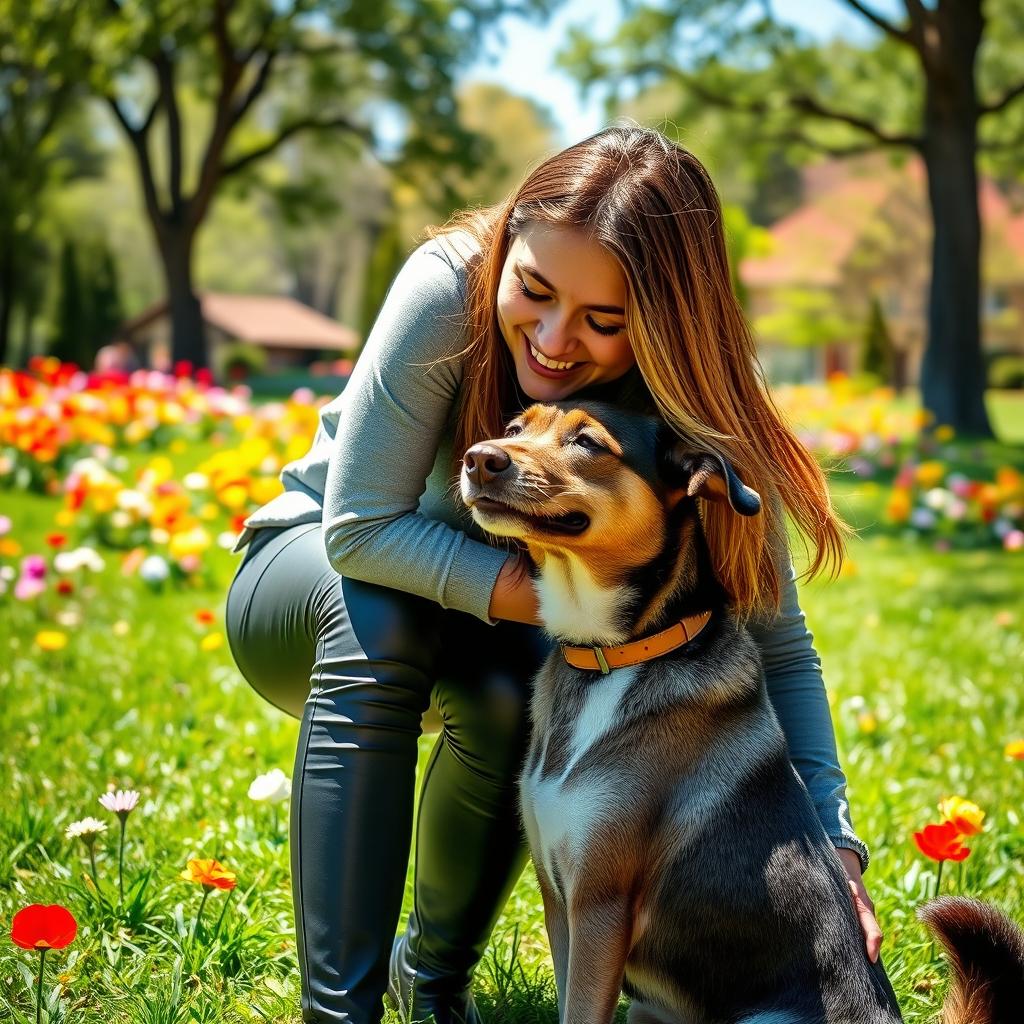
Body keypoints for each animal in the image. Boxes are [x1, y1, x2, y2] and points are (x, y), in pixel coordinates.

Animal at [462, 401, 1024, 1024]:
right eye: (515, 430)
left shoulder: (598, 906)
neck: (617, 655)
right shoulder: (559, 902)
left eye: (587, 442)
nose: (478, 459)